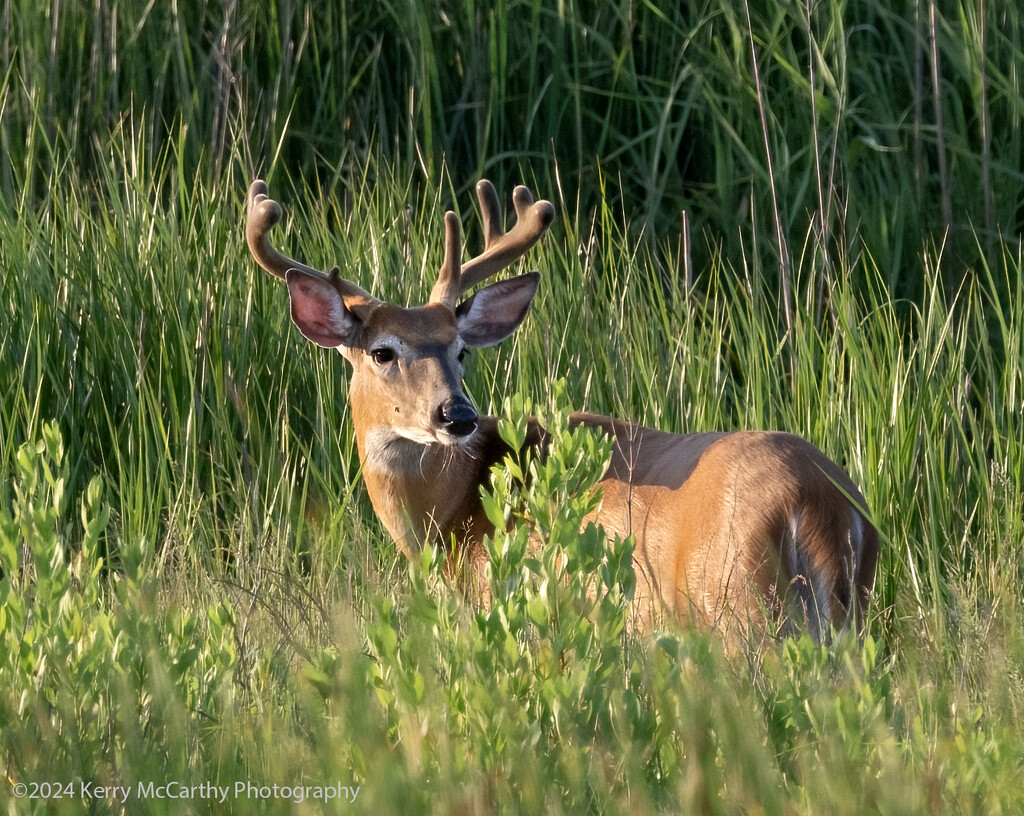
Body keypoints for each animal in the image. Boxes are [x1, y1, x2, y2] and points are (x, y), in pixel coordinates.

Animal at [247, 177, 880, 642]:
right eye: (383, 351)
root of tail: (817, 499)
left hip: (737, 604)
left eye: (460, 349)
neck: (453, 512)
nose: (457, 416)